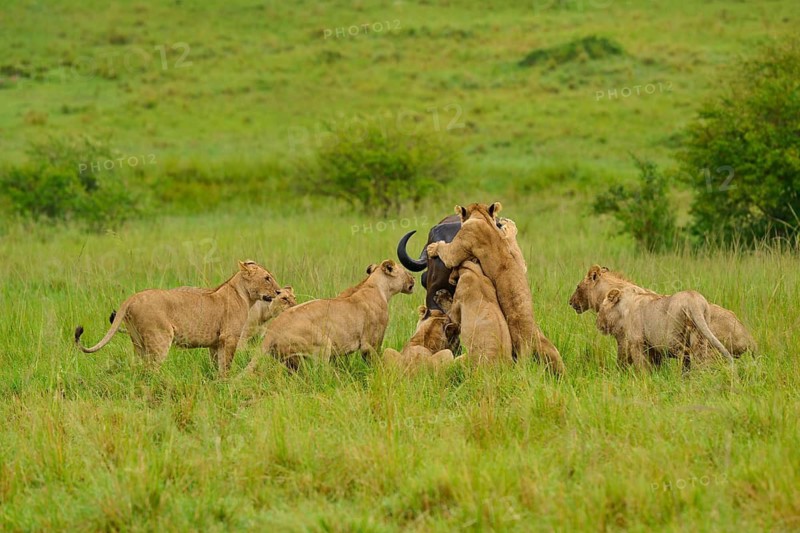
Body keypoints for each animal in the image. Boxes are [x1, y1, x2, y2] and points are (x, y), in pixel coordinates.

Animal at [75, 261, 282, 376]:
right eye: (267, 278)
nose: (279, 291)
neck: (244, 295)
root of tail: (133, 297)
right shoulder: (229, 338)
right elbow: (227, 366)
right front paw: (226, 382)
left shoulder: (216, 343)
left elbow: (217, 365)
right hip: (160, 338)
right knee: (150, 370)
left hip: (138, 343)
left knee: (138, 368)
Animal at [242, 260, 415, 372]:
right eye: (406, 271)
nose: (413, 279)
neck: (376, 285)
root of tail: (272, 331)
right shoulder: (371, 343)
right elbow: (376, 363)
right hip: (323, 345)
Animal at [426, 202, 565, 375]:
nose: (503, 221)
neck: (482, 218)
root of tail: (530, 342)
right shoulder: (518, 258)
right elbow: (514, 247)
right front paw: (509, 225)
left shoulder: (462, 240)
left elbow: (447, 253)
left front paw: (432, 247)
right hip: (552, 352)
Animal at [596, 286, 734, 371]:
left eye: (601, 308)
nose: (597, 323)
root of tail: (693, 300)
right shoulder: (652, 346)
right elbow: (655, 364)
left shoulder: (637, 341)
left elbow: (641, 363)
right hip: (700, 335)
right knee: (699, 358)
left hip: (671, 337)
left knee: (685, 353)